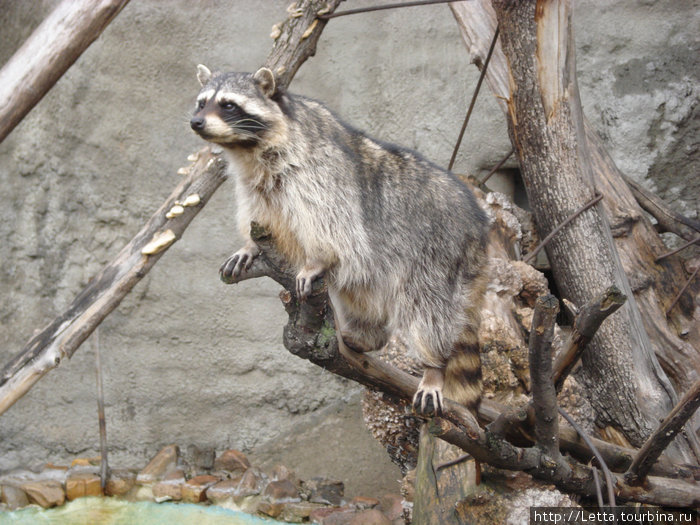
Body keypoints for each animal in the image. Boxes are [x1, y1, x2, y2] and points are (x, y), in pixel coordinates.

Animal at [189, 65, 490, 416]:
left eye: (228, 105)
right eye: (201, 103)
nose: (196, 122)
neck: (248, 147)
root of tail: (480, 229)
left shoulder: (319, 172)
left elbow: (333, 225)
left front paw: (316, 260)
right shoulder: (255, 185)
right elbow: (259, 214)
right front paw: (249, 245)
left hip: (438, 254)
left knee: (427, 308)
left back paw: (433, 366)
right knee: (361, 290)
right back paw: (368, 334)